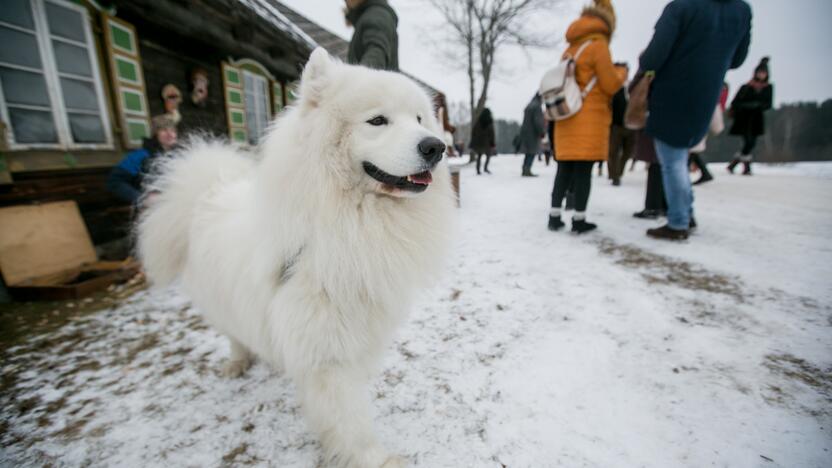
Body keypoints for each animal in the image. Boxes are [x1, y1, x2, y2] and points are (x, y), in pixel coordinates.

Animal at [141, 49, 456, 466]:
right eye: (377, 120)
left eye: (419, 119)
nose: (435, 147)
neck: (350, 223)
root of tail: (209, 190)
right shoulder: (327, 353)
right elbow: (350, 420)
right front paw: (375, 458)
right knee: (235, 334)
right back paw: (238, 362)